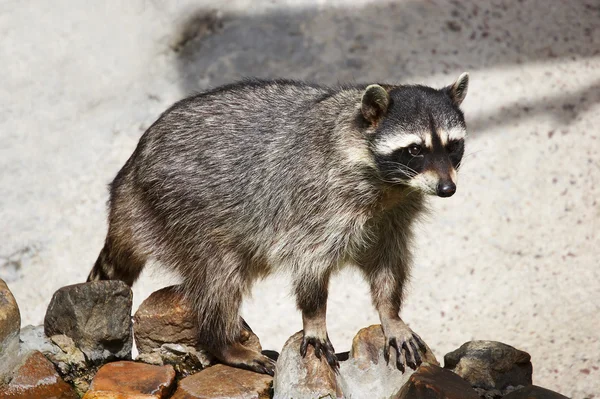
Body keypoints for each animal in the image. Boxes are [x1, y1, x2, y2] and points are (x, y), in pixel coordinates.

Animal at [88, 73, 468, 376]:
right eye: (415, 149)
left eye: (453, 146)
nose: (447, 189)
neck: (390, 184)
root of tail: (130, 173)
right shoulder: (318, 202)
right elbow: (310, 264)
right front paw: (314, 319)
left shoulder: (392, 217)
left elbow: (388, 265)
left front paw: (391, 315)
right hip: (180, 207)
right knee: (219, 276)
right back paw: (222, 341)